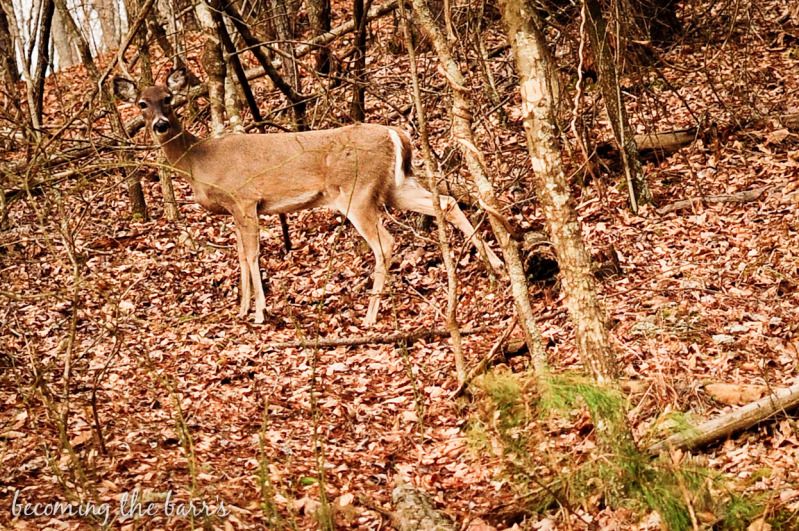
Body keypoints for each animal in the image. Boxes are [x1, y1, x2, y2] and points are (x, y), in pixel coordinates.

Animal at [114, 69, 500, 328]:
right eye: (142, 103)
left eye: (169, 99)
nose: (160, 124)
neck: (199, 159)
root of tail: (396, 134)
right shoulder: (234, 210)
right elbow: (240, 256)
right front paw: (241, 309)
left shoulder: (245, 199)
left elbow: (252, 255)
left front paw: (259, 313)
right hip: (395, 185)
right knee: (447, 202)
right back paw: (495, 264)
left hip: (357, 192)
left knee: (386, 242)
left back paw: (370, 315)